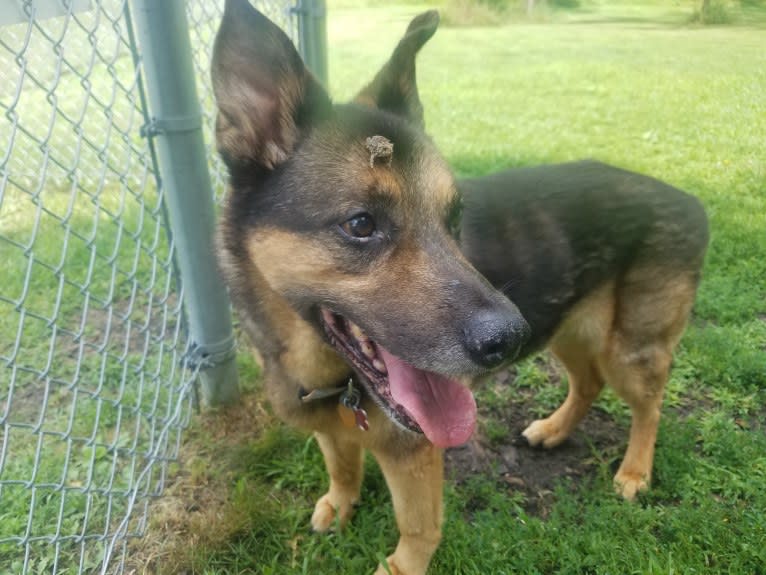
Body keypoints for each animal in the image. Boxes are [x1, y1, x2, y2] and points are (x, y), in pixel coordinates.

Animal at [210, 2, 708, 572]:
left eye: (454, 219)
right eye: (361, 224)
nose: (508, 340)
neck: (329, 375)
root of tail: (686, 198)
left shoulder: (413, 453)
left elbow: (418, 527)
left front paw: (399, 565)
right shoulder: (336, 431)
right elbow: (341, 465)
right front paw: (340, 502)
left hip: (629, 350)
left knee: (649, 406)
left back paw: (635, 471)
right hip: (567, 329)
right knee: (588, 384)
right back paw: (555, 430)